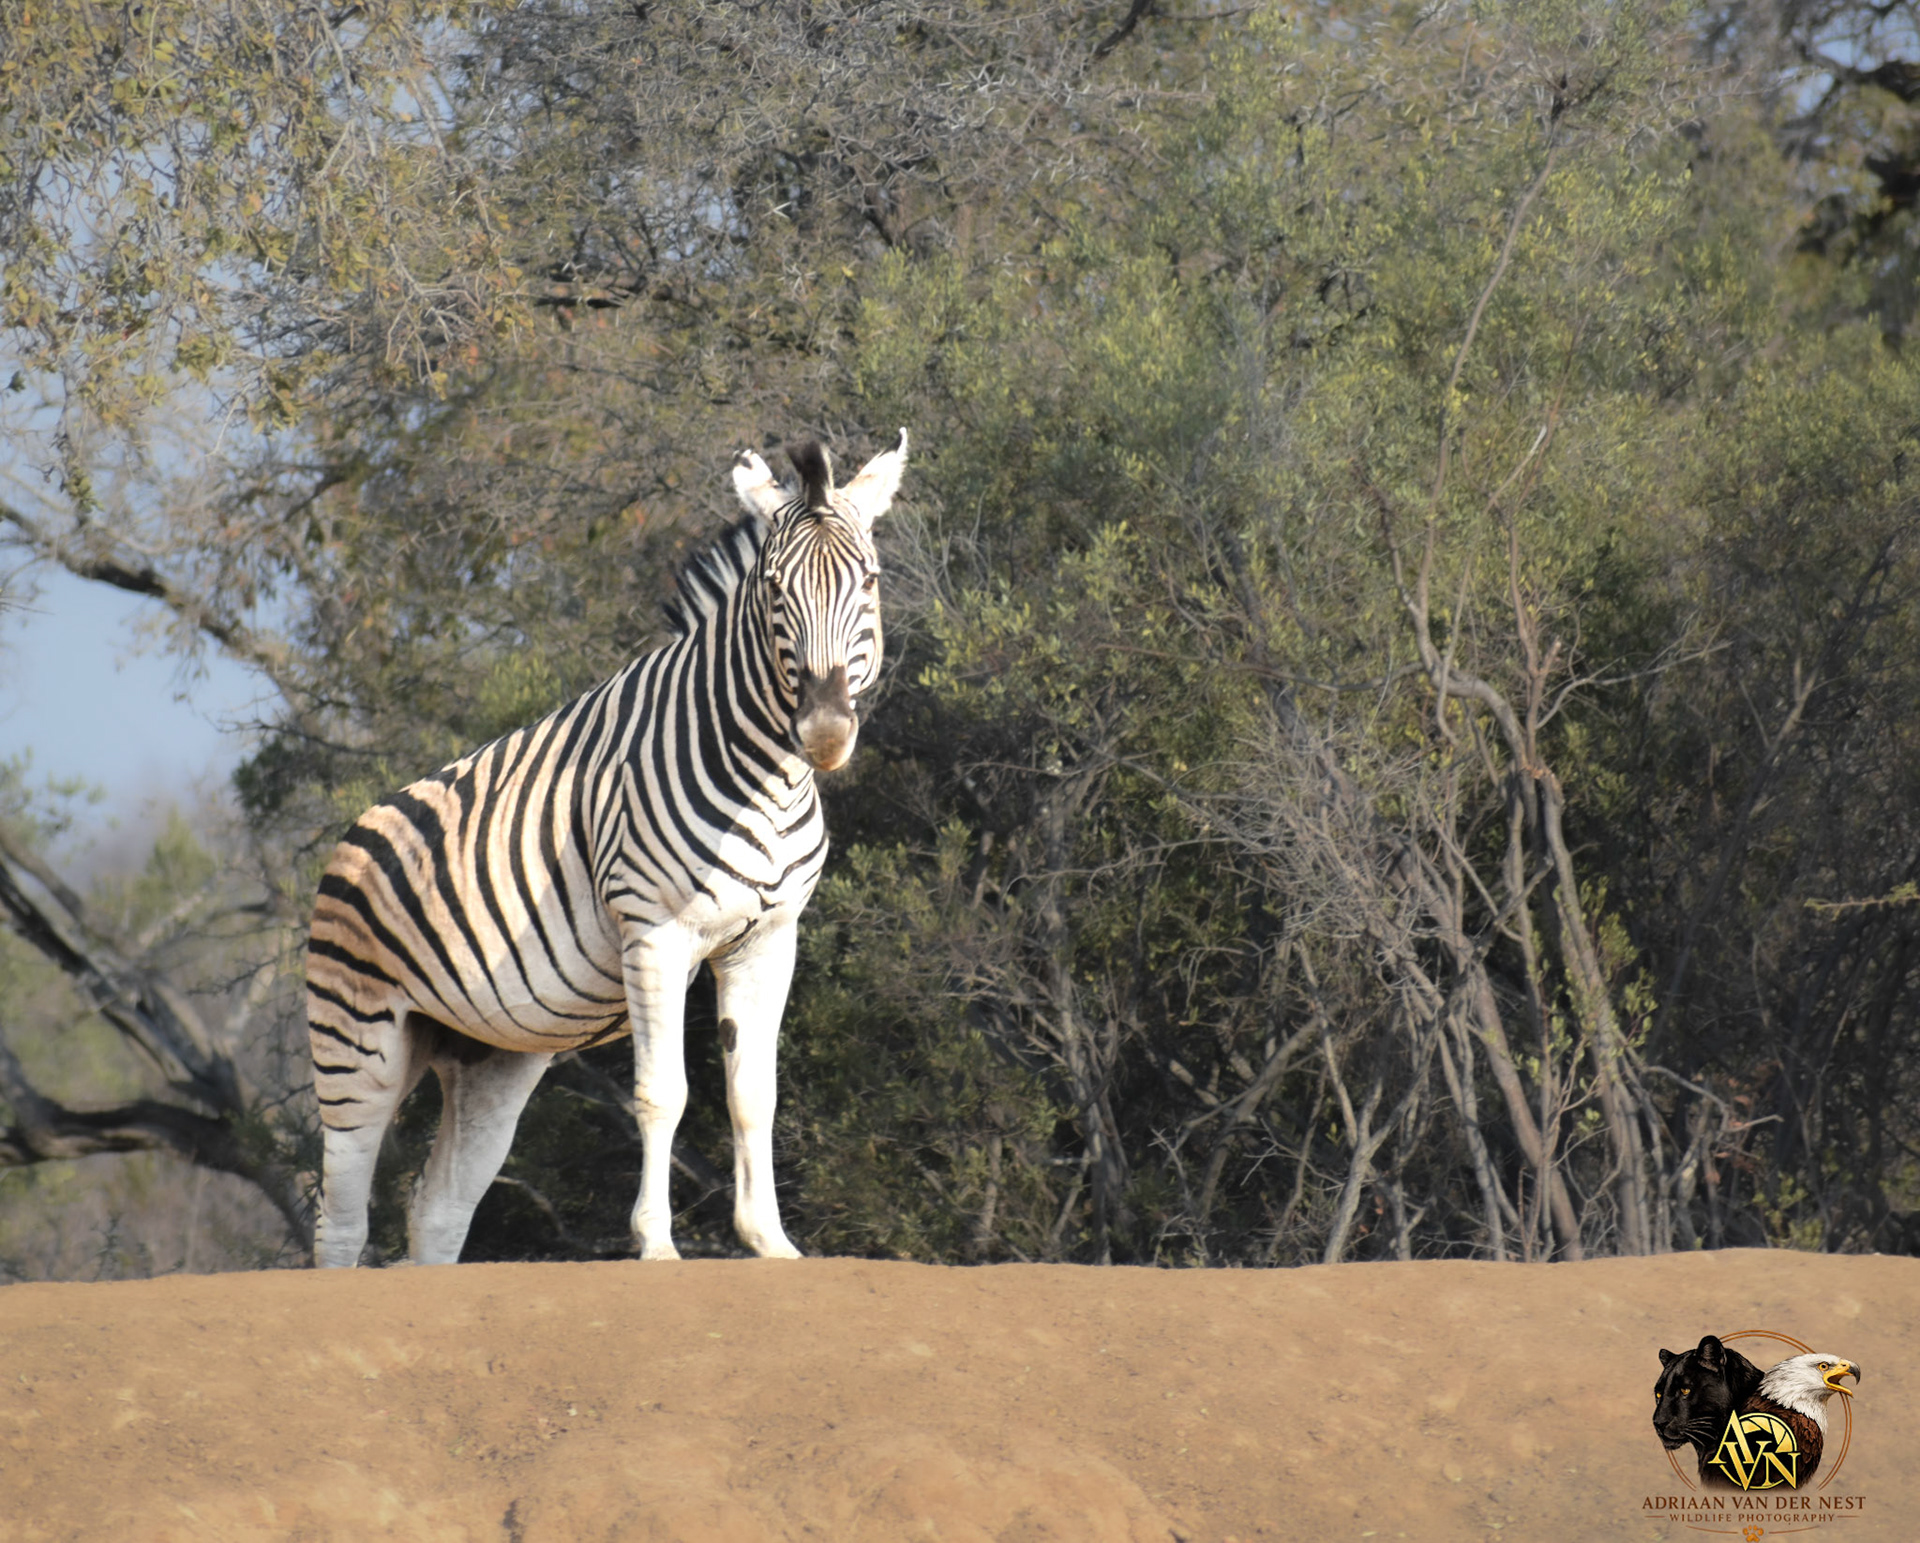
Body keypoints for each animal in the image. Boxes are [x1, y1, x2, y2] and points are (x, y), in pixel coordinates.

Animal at [307, 430, 908, 1267]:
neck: (768, 776)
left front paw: (771, 1241)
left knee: (436, 1211)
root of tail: (350, 835)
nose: (823, 732)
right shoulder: (654, 933)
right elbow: (664, 1092)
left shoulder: (767, 939)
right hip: (357, 1041)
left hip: (489, 1053)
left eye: (870, 581)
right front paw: (654, 1244)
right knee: (340, 1218)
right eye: (773, 591)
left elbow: (753, 1092)